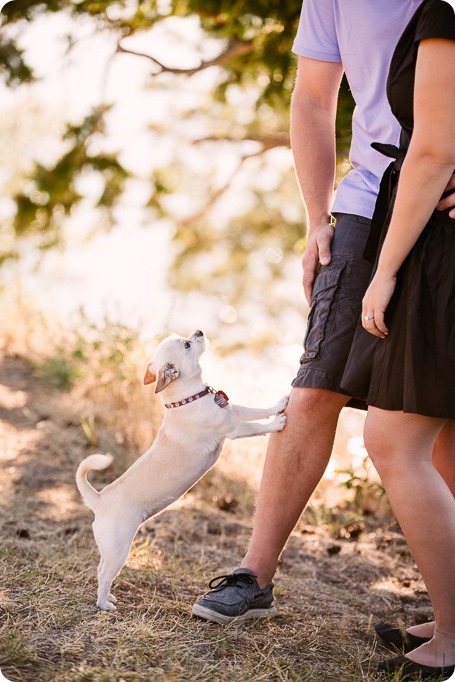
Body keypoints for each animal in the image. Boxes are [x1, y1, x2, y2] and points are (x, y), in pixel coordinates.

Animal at [75, 330, 288, 612]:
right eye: (187, 344)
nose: (198, 331)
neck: (188, 398)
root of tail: (99, 500)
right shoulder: (234, 428)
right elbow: (256, 427)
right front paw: (277, 423)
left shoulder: (235, 410)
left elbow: (256, 411)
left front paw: (278, 406)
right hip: (119, 549)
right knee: (104, 575)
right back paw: (104, 604)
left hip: (109, 550)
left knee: (100, 569)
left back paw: (108, 598)